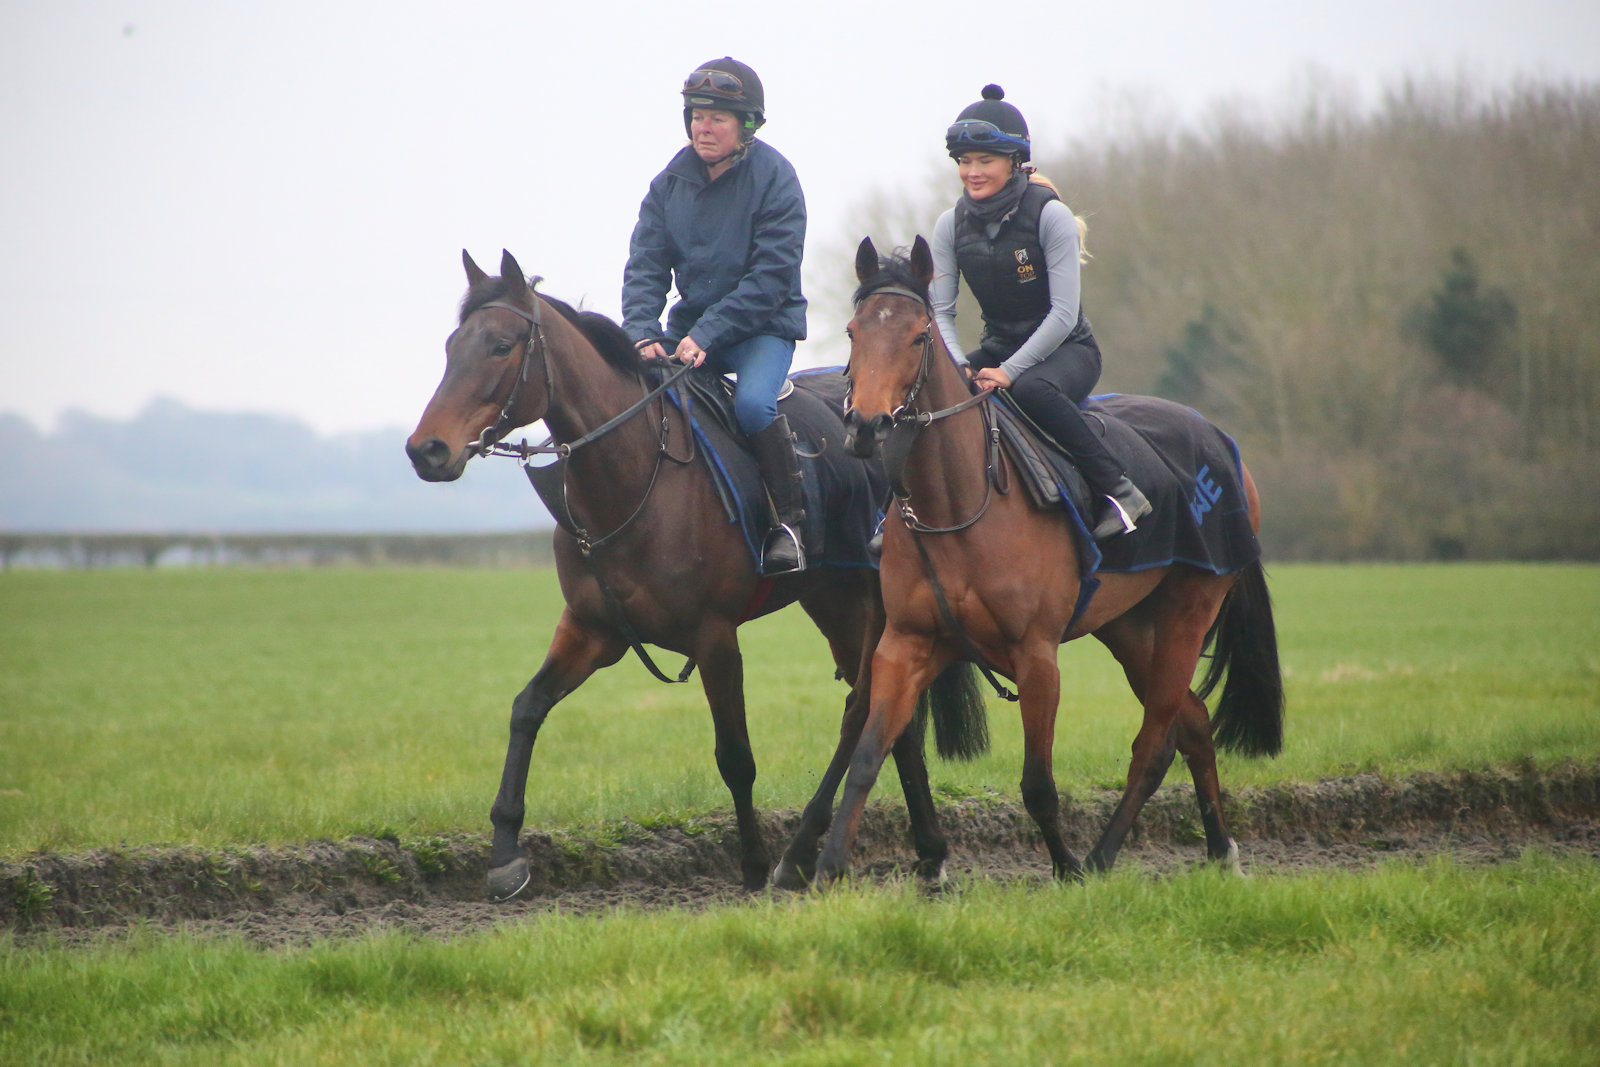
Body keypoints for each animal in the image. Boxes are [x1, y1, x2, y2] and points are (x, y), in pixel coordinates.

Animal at [406, 249, 986, 900]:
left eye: (502, 346)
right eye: (453, 346)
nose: (426, 450)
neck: (637, 478)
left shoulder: (715, 639)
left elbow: (735, 756)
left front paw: (753, 864)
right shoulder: (591, 630)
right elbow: (526, 708)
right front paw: (506, 853)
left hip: (870, 605)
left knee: (868, 712)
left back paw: (817, 855)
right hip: (837, 603)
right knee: (890, 721)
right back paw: (927, 853)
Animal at [814, 236, 1284, 884]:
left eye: (916, 336)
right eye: (853, 331)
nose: (865, 425)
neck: (958, 503)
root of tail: (1220, 438)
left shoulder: (1036, 655)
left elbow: (1038, 783)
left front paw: (1065, 869)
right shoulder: (906, 642)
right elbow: (867, 753)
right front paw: (825, 867)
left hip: (1190, 609)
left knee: (1156, 740)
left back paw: (1102, 856)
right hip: (1130, 624)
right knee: (1191, 723)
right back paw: (1218, 848)